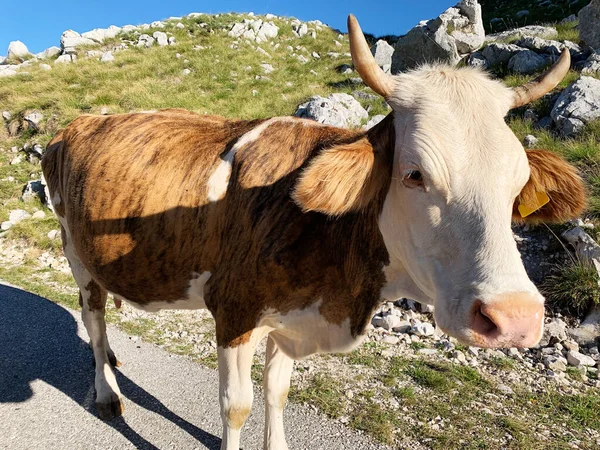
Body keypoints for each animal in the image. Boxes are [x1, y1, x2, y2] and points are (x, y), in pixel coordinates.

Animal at [42, 15, 584, 450]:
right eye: (414, 174)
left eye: (518, 182)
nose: (514, 318)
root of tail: (79, 122)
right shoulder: (235, 309)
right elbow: (236, 405)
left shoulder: (292, 317)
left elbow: (278, 391)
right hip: (75, 251)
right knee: (92, 317)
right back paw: (106, 392)